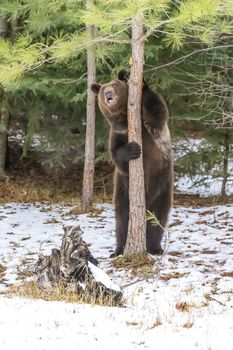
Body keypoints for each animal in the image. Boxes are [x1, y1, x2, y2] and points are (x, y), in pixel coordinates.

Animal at [91, 71, 173, 258]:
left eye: (114, 84)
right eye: (103, 88)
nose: (108, 94)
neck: (124, 119)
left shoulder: (151, 126)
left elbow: (159, 111)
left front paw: (139, 82)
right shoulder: (117, 133)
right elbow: (117, 155)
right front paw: (133, 149)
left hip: (163, 185)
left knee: (158, 217)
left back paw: (155, 247)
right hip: (124, 191)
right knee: (122, 220)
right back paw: (118, 250)